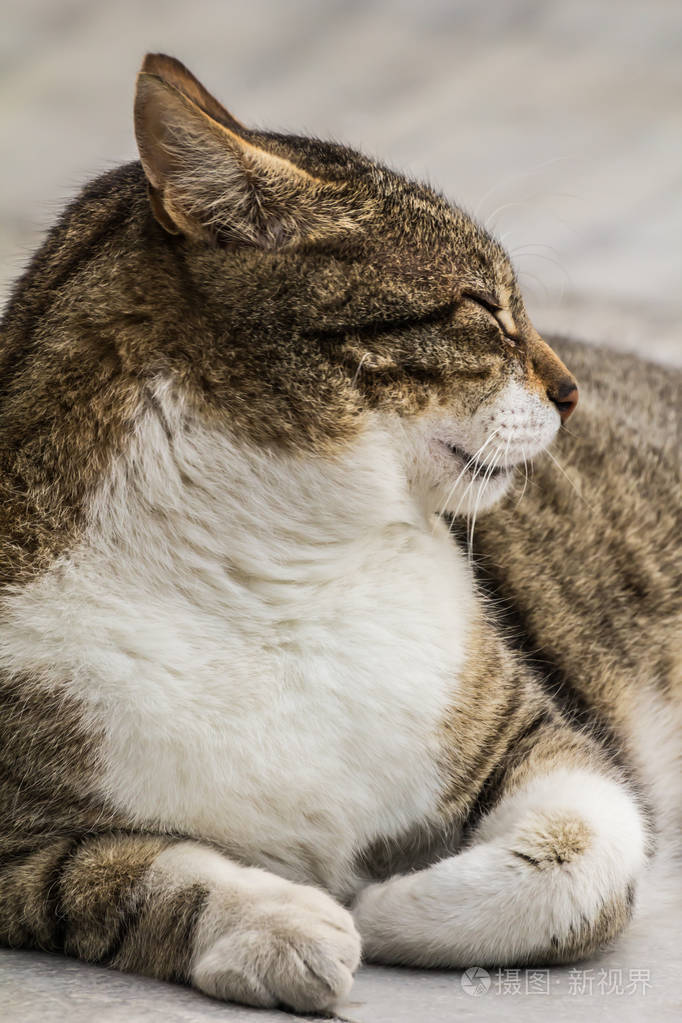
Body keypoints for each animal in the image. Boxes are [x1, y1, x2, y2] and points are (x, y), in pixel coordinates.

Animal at [0, 51, 678, 1010]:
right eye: (483, 306)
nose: (571, 391)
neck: (282, 571)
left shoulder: (538, 735)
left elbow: (585, 849)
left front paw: (391, 905)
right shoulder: (19, 844)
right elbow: (125, 878)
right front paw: (284, 922)